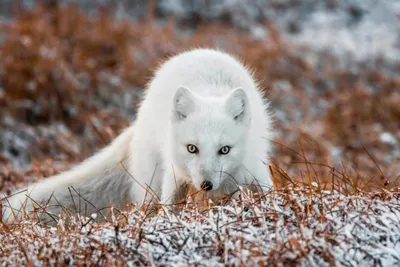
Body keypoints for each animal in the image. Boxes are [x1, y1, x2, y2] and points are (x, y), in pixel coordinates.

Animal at [0, 48, 276, 224]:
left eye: (225, 150)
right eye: (192, 148)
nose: (205, 184)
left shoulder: (254, 170)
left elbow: (268, 195)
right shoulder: (175, 176)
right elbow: (169, 209)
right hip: (152, 180)